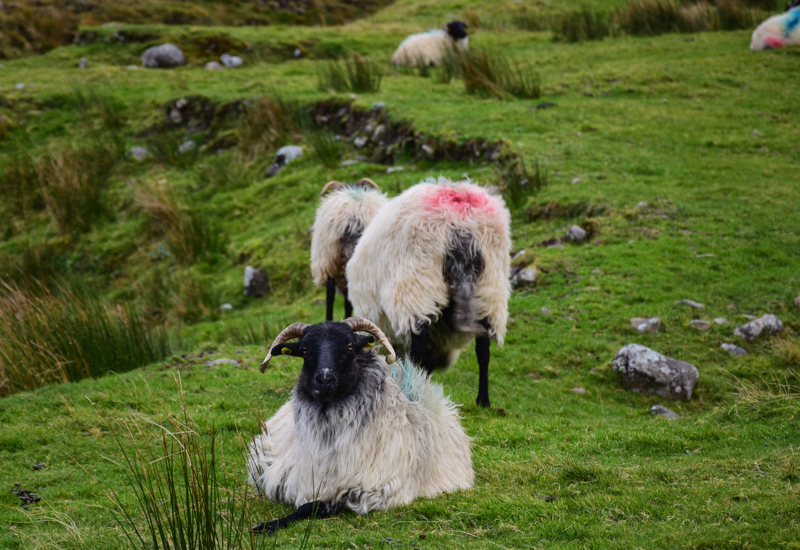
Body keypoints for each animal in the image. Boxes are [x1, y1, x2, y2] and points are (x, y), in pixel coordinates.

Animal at [248, 316, 476, 536]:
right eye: (304, 349)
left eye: (350, 345)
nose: (324, 379)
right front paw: (266, 525)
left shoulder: (372, 490)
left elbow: (313, 506)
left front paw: (268, 526)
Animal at [346, 178, 510, 410]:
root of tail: (460, 220)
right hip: (490, 286)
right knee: (483, 348)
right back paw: (483, 400)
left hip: (418, 282)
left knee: (420, 340)